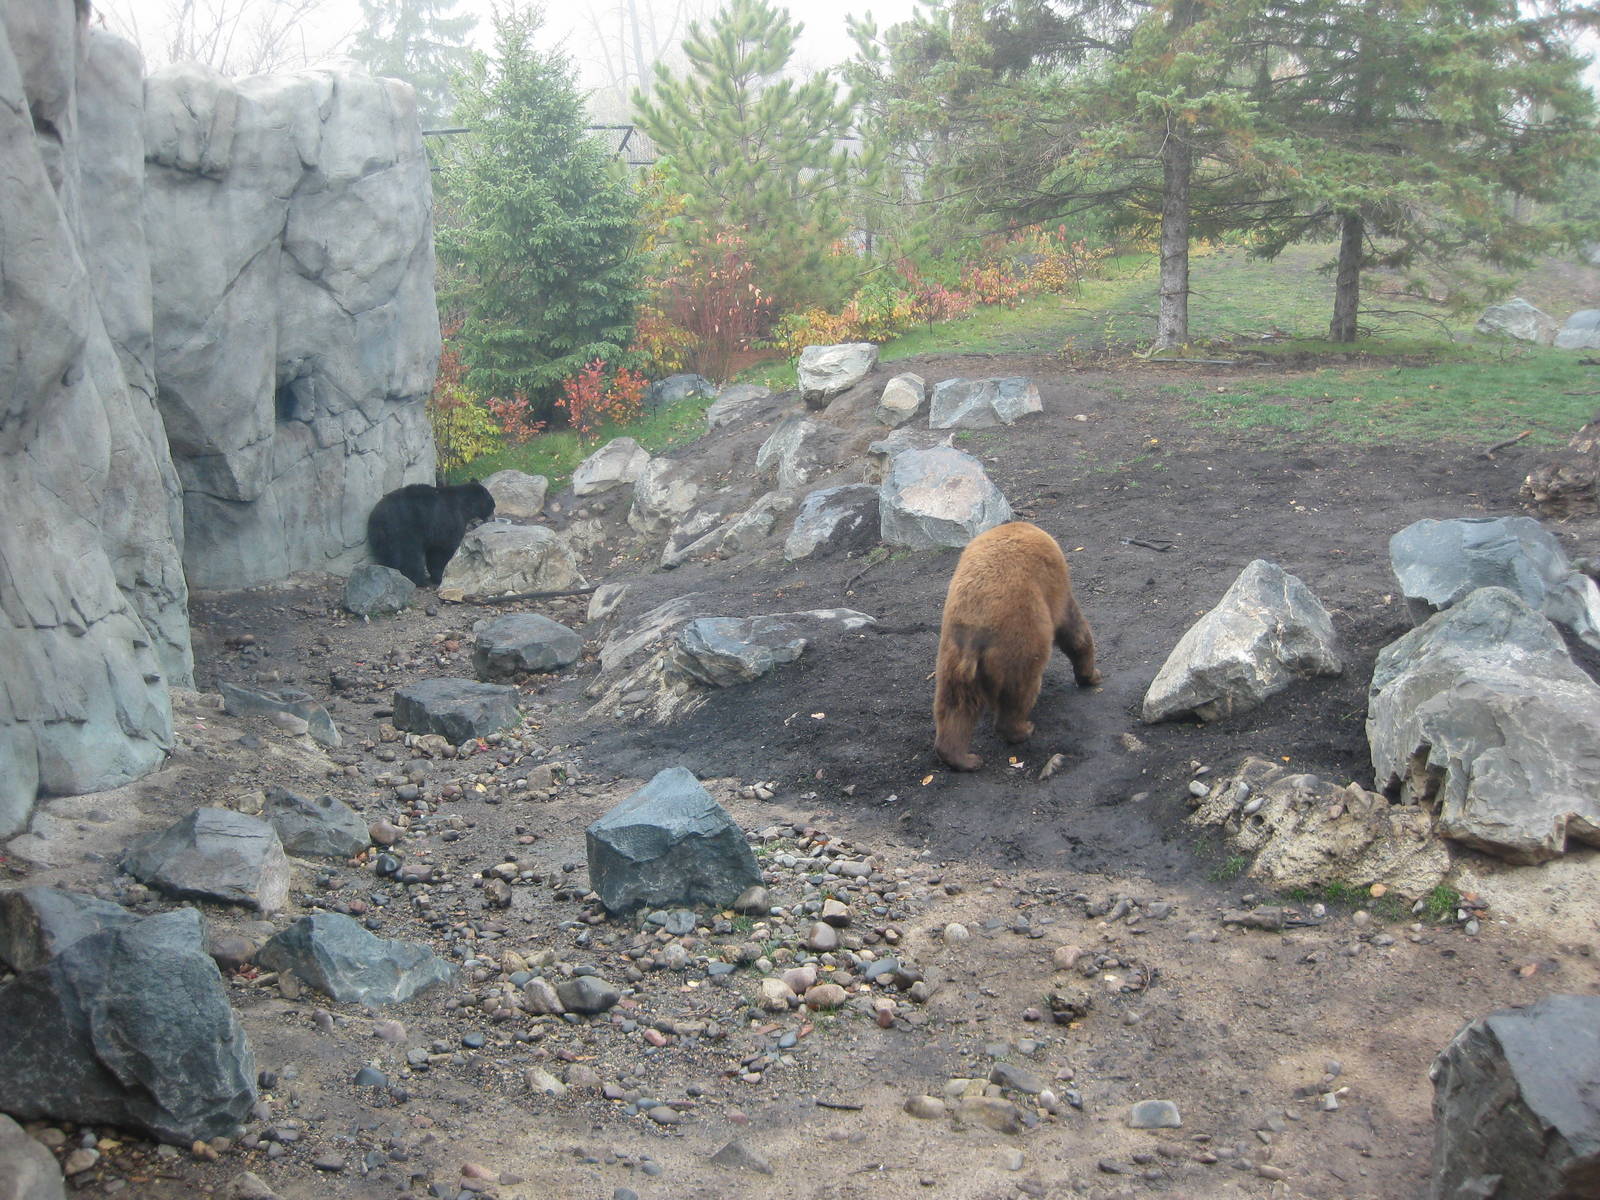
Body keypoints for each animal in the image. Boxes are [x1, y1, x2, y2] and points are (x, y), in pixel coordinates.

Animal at [366, 481, 495, 587]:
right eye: (492, 506)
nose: (493, 519)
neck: (464, 506)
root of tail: (379, 518)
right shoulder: (448, 520)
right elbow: (443, 549)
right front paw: (440, 575)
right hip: (404, 531)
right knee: (410, 555)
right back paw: (418, 580)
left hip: (381, 537)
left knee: (388, 555)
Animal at [933, 521, 1100, 771]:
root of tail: (975, 628)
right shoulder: (1055, 587)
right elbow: (1074, 631)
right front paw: (1091, 676)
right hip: (1019, 639)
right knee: (1021, 687)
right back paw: (1022, 729)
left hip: (952, 654)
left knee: (956, 703)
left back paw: (964, 758)